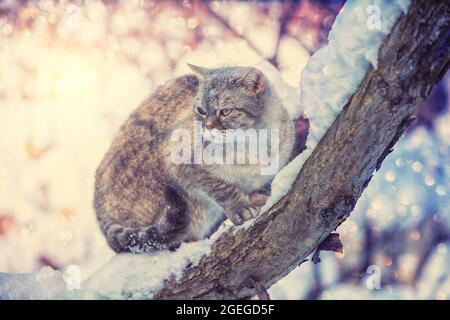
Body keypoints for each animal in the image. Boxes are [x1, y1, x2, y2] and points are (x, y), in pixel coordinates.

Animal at [94, 65, 296, 252]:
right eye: (201, 110)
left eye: (226, 111)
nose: (207, 126)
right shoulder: (182, 163)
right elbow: (223, 189)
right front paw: (241, 208)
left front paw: (259, 197)